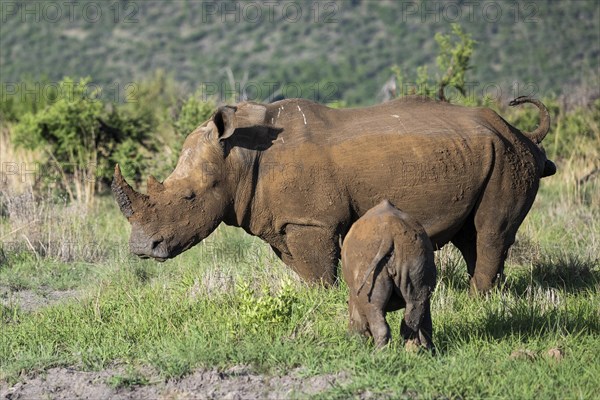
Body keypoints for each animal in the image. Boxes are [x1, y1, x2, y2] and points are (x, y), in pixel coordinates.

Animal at [342, 202, 436, 348]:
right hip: (416, 254)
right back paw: (414, 350)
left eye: (351, 322)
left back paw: (380, 352)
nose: (349, 337)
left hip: (368, 261)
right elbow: (426, 323)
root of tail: (389, 234)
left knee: (374, 309)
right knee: (416, 304)